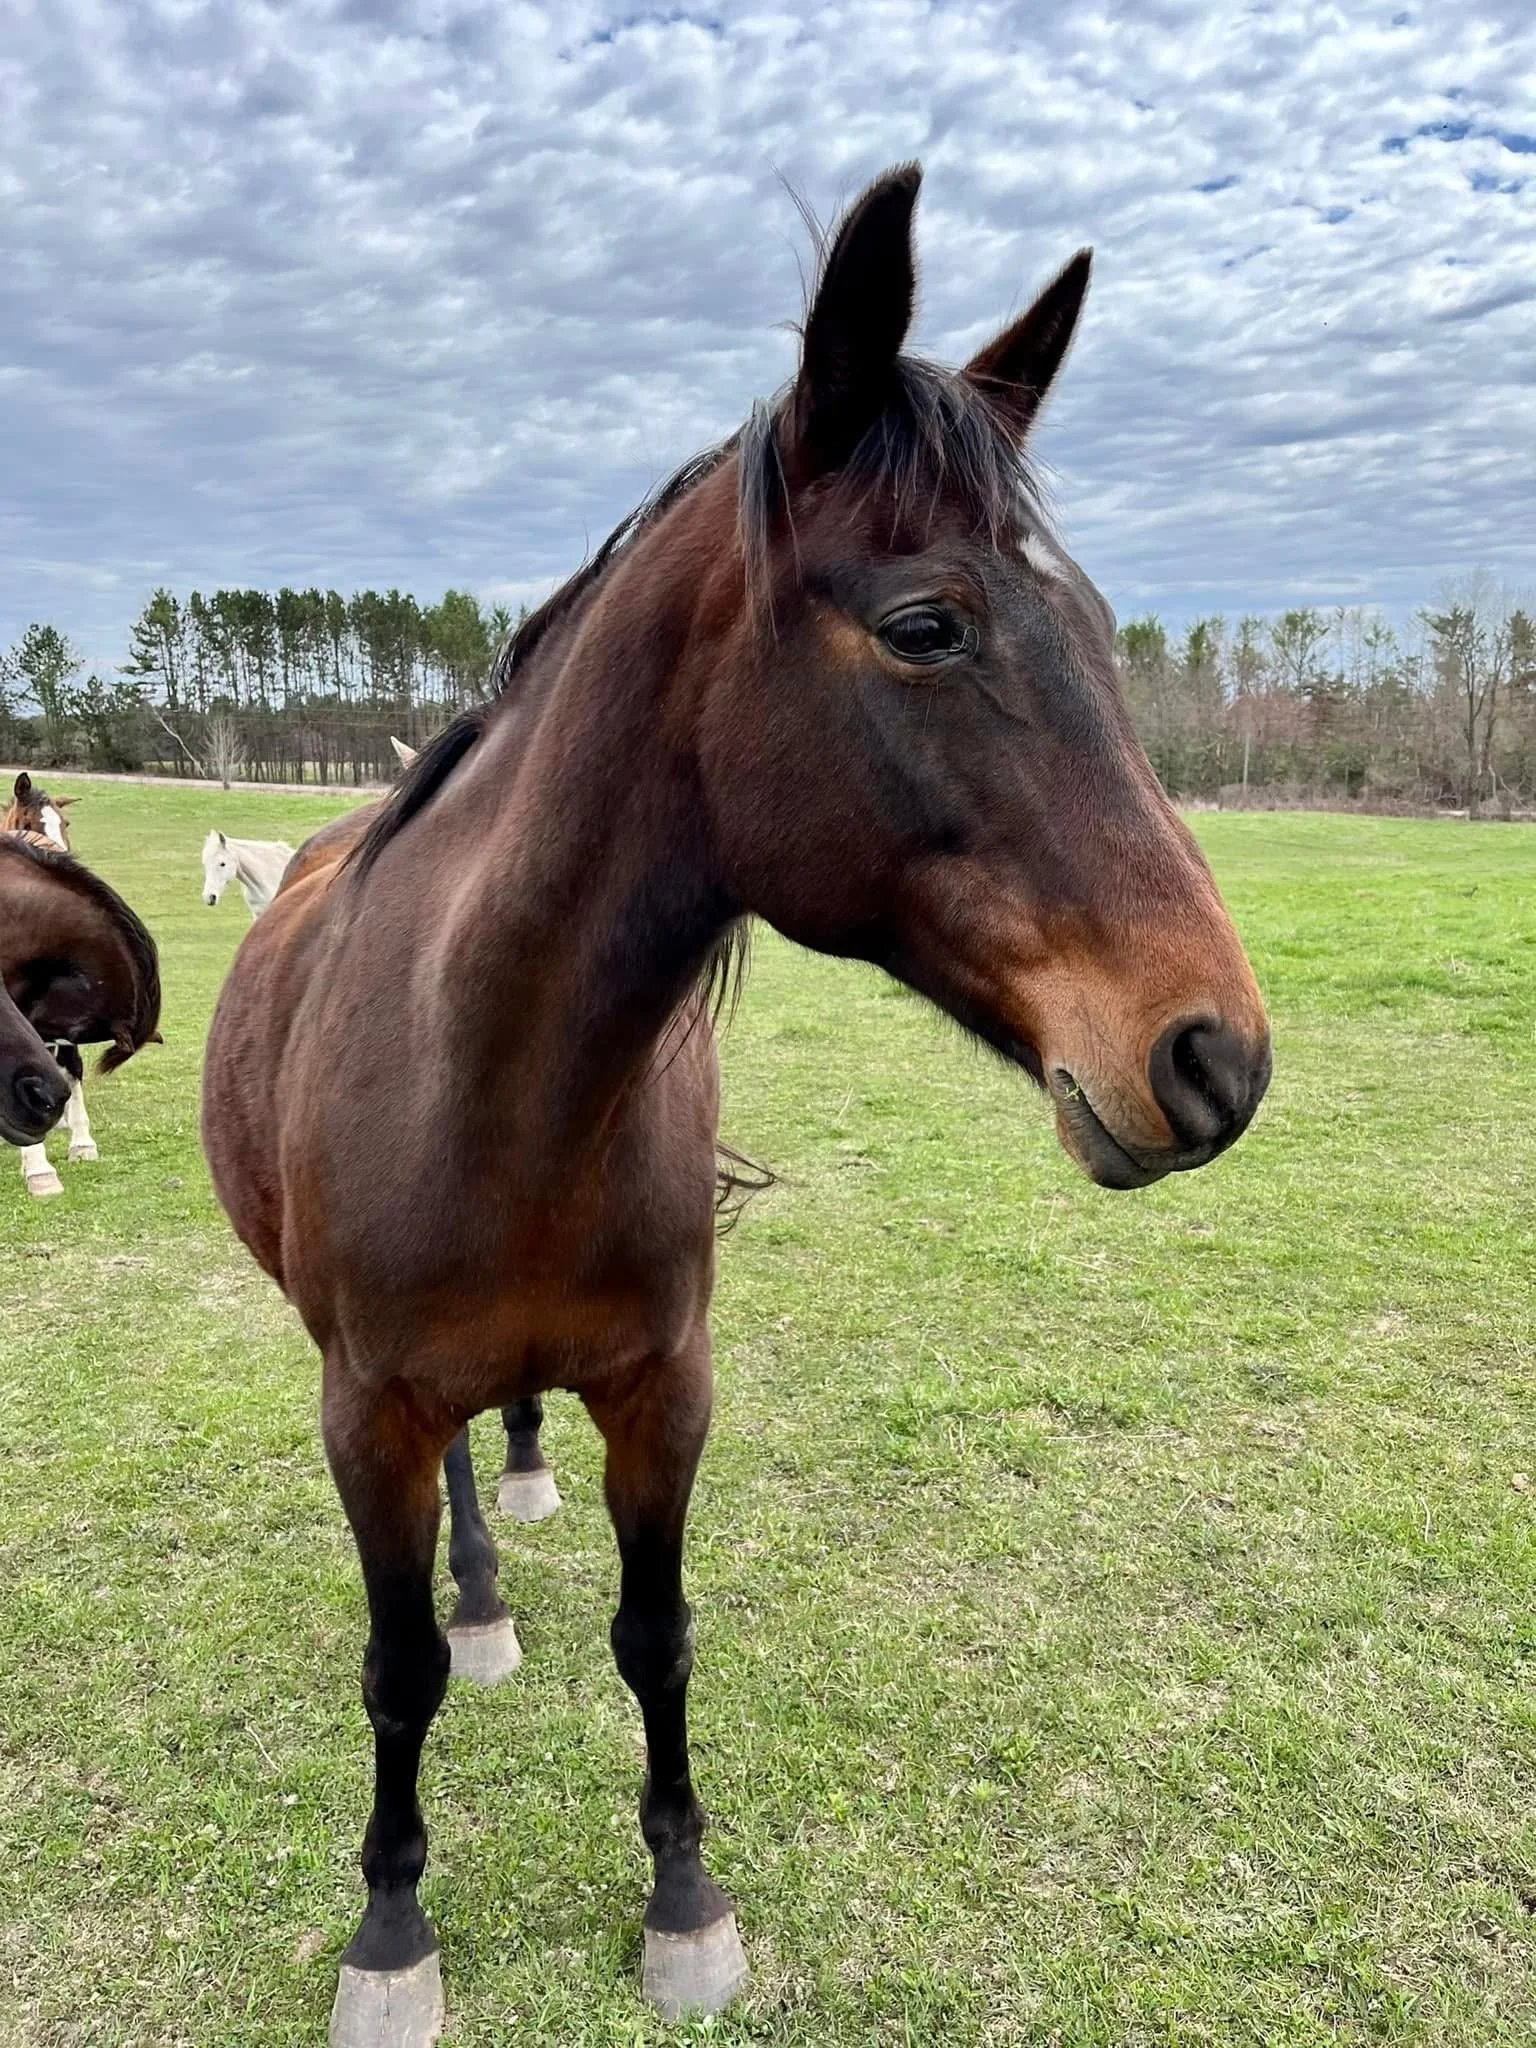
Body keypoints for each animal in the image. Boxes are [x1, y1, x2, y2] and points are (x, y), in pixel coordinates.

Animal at [202, 165, 1271, 2044]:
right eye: (925, 626)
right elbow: (395, 1671)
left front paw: (685, 1899)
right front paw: (391, 1928)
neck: (491, 1078)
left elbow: (660, 1637)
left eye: (1093, 631)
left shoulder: (664, 1392)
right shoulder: (365, 1411)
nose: (1216, 1057)